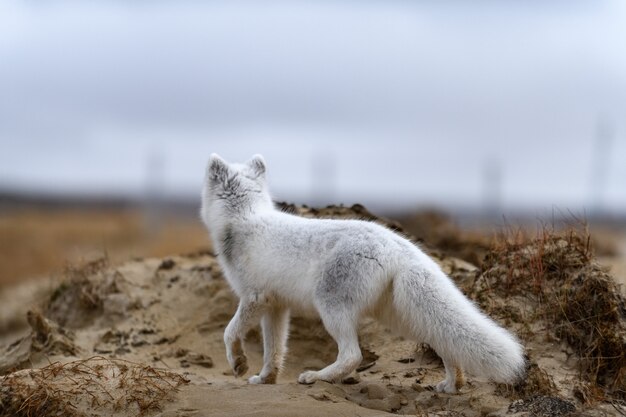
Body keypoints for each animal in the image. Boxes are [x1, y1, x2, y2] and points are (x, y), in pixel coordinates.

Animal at [199, 153, 520, 390]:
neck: (244, 217)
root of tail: (398, 245)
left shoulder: (255, 297)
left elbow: (229, 332)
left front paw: (238, 363)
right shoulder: (276, 307)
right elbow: (274, 349)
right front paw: (266, 378)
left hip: (331, 306)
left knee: (353, 355)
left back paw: (317, 377)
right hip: (401, 316)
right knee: (445, 341)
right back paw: (453, 384)